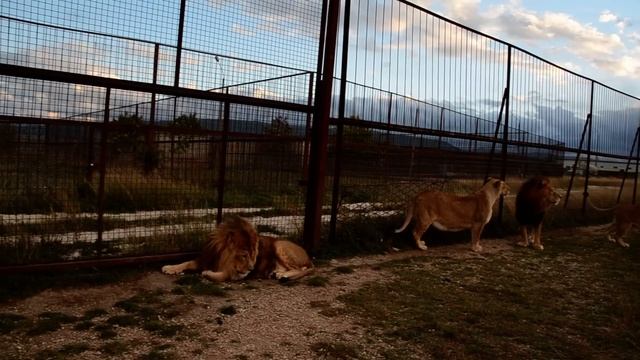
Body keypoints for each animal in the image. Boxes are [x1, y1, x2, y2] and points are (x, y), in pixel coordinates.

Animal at [161, 217, 314, 282]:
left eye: (253, 255)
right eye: (244, 255)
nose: (251, 269)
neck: (222, 257)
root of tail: (307, 255)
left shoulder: (236, 274)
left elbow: (223, 275)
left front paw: (207, 273)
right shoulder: (206, 258)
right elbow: (186, 262)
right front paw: (169, 268)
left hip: (280, 245)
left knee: (301, 269)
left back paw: (284, 275)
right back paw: (278, 272)